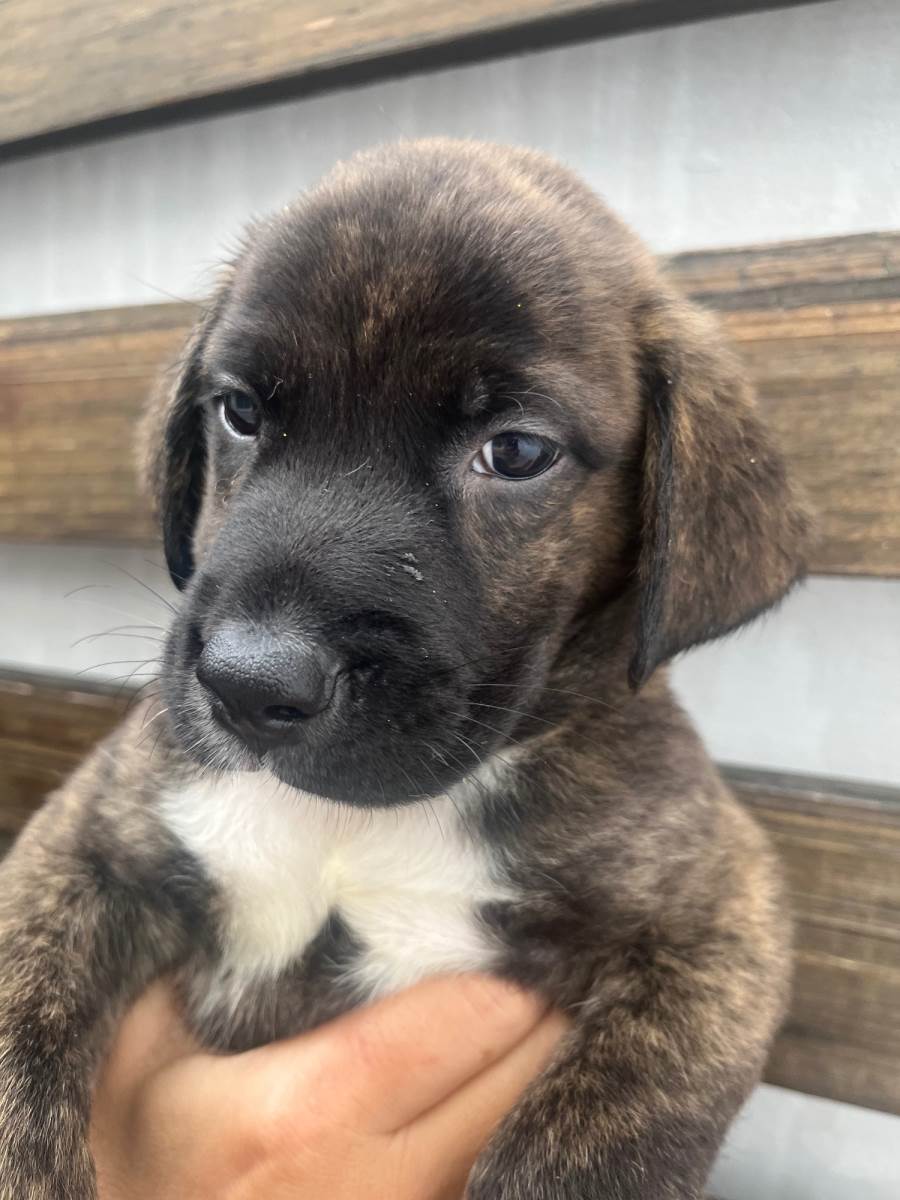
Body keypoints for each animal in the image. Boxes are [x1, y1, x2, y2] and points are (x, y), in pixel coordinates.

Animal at [0, 139, 810, 1199]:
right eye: (240, 412)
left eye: (517, 452)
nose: (249, 684)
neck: (351, 824)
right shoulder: (87, 846)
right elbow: (20, 1020)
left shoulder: (718, 915)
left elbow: (617, 1119)